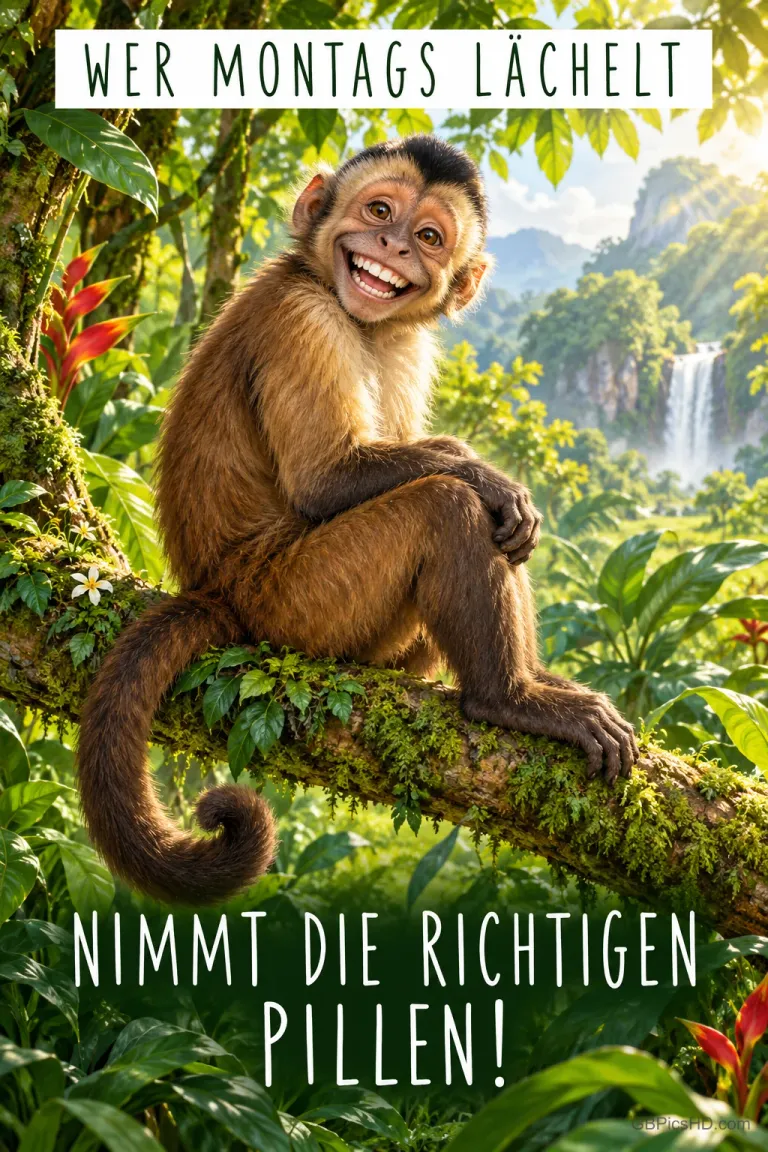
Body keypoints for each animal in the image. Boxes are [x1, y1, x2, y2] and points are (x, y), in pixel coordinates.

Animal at [77, 134, 638, 906]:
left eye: (427, 237)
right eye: (379, 211)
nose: (391, 245)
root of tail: (216, 590)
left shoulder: (408, 342)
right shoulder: (301, 316)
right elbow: (330, 481)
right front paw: (485, 474)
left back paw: (523, 680)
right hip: (293, 604)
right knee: (442, 508)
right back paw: (506, 699)